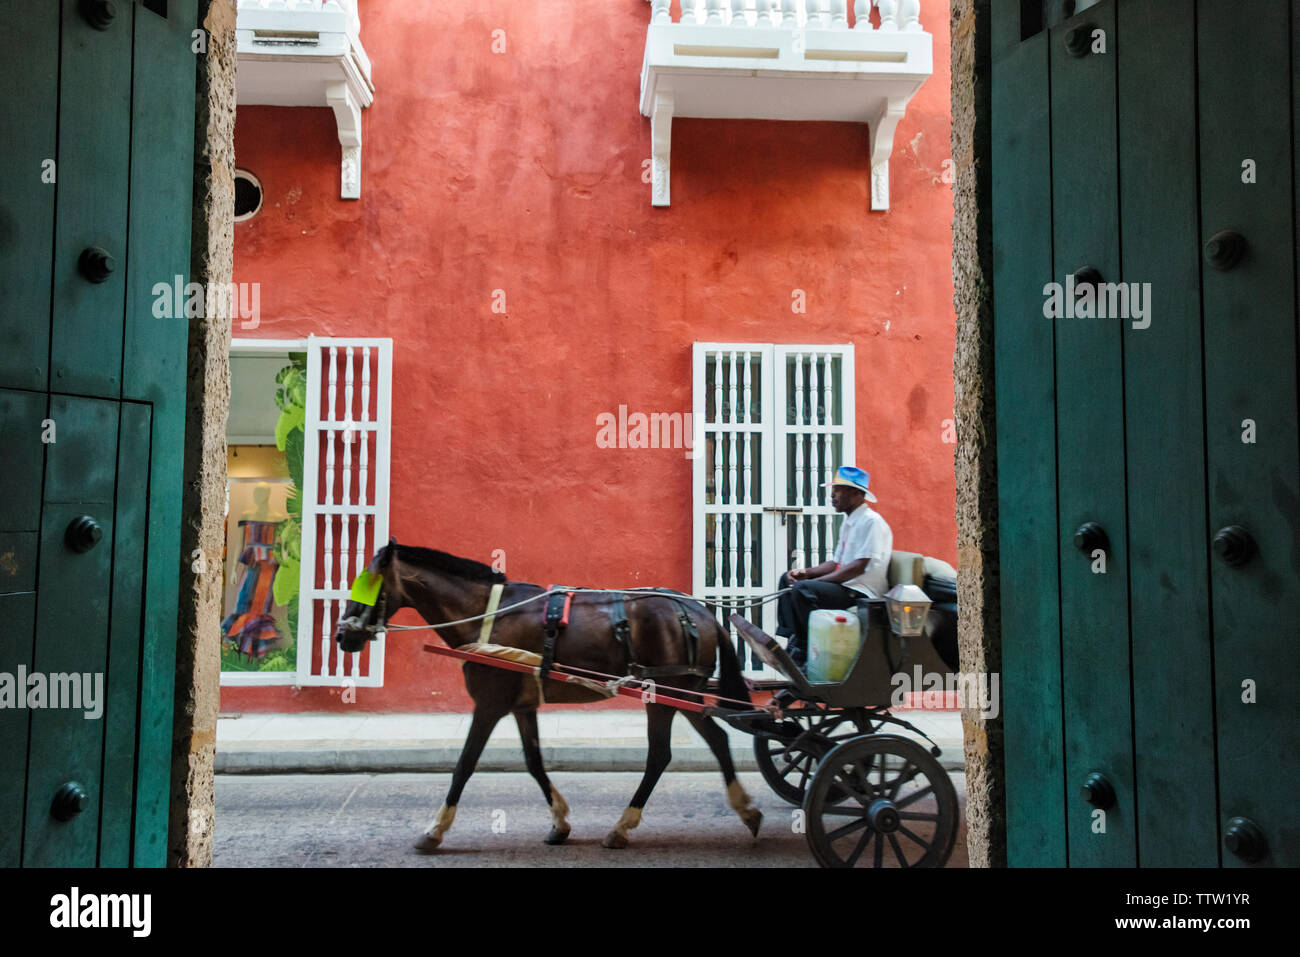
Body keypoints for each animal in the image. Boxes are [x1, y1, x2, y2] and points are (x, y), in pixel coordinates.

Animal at [330, 540, 764, 847]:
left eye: (368, 583)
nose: (341, 635)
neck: (487, 615)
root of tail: (702, 611)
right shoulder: (521, 705)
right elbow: (534, 762)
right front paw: (559, 821)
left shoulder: (489, 704)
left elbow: (464, 764)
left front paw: (436, 828)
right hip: (685, 693)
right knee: (717, 740)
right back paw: (746, 810)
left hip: (665, 694)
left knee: (660, 755)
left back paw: (623, 826)